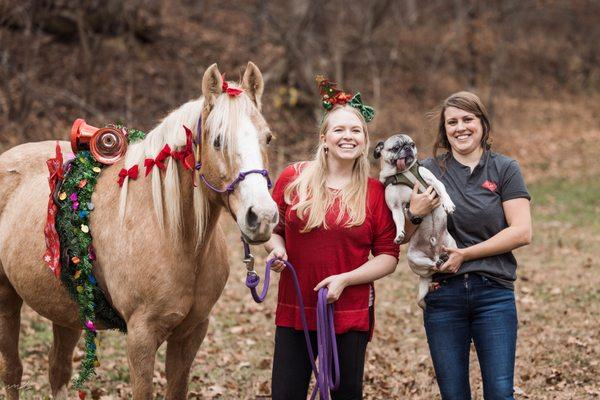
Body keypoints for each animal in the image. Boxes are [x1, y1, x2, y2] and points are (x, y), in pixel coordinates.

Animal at [0, 61, 278, 398]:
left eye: (267, 138)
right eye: (218, 140)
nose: (261, 216)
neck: (172, 234)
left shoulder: (191, 333)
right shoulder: (141, 337)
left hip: (68, 309)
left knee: (58, 370)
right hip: (6, 299)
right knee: (12, 371)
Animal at [372, 134, 458, 310]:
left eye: (411, 144)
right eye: (395, 148)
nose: (407, 148)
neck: (404, 172)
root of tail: (435, 253)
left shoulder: (434, 182)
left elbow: (442, 190)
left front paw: (448, 204)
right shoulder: (396, 207)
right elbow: (398, 221)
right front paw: (399, 234)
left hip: (452, 246)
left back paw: (444, 258)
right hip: (414, 258)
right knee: (433, 266)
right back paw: (440, 260)